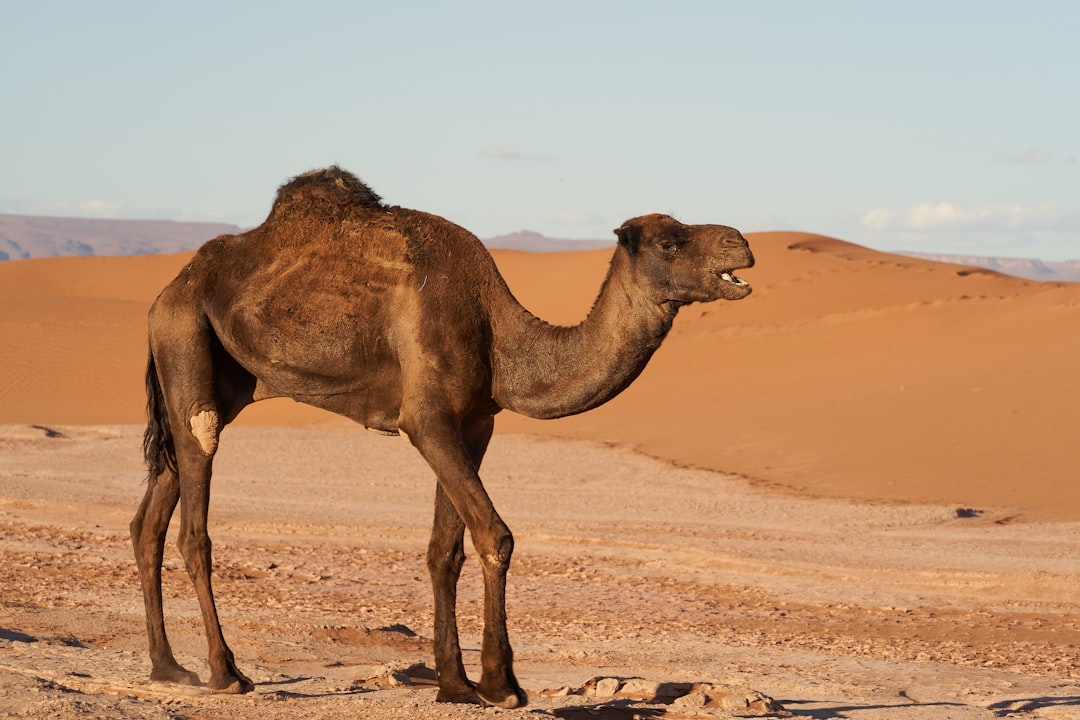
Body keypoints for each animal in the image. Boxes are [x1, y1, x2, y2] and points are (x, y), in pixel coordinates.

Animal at [130, 167, 756, 708]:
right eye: (669, 243)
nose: (741, 241)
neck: (496, 332)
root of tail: (167, 291)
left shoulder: (474, 424)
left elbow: (444, 550)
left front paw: (454, 684)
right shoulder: (426, 419)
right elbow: (495, 535)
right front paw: (502, 683)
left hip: (218, 379)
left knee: (150, 518)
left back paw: (169, 667)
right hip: (186, 341)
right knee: (195, 517)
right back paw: (225, 672)